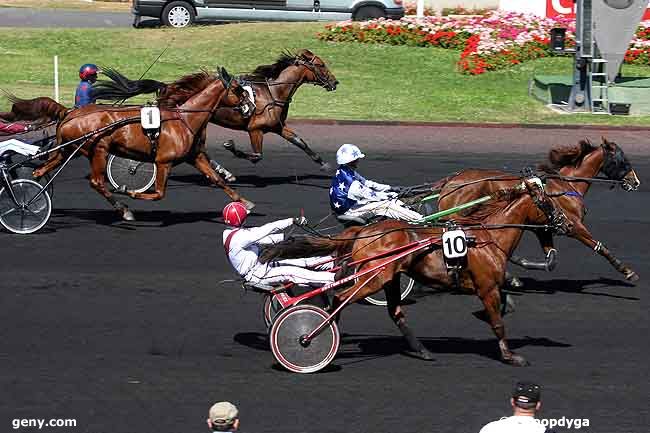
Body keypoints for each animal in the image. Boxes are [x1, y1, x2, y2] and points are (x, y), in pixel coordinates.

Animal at [33, 70, 252, 223]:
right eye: (237, 89)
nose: (250, 107)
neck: (184, 119)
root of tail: (70, 114)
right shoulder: (164, 161)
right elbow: (159, 193)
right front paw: (128, 191)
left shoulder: (194, 157)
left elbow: (217, 179)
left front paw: (245, 203)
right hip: (98, 150)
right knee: (96, 182)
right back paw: (124, 210)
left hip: (68, 150)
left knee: (40, 170)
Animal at [92, 50, 340, 170]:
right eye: (321, 65)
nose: (335, 82)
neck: (273, 93)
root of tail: (167, 86)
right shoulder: (256, 129)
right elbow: (257, 155)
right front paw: (232, 147)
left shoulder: (277, 127)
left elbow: (300, 141)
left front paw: (323, 163)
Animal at [260, 177, 568, 366]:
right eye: (548, 204)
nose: (564, 222)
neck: (485, 237)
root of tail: (363, 231)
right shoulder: (487, 287)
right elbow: (498, 322)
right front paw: (511, 356)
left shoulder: (490, 285)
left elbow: (503, 307)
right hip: (373, 277)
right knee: (340, 297)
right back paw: (313, 334)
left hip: (389, 278)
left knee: (394, 311)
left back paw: (421, 350)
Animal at [432, 137, 640, 282]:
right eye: (622, 160)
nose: (635, 181)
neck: (566, 187)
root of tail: (451, 181)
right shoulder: (574, 226)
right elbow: (600, 247)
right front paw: (628, 271)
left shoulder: (544, 228)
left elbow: (551, 259)